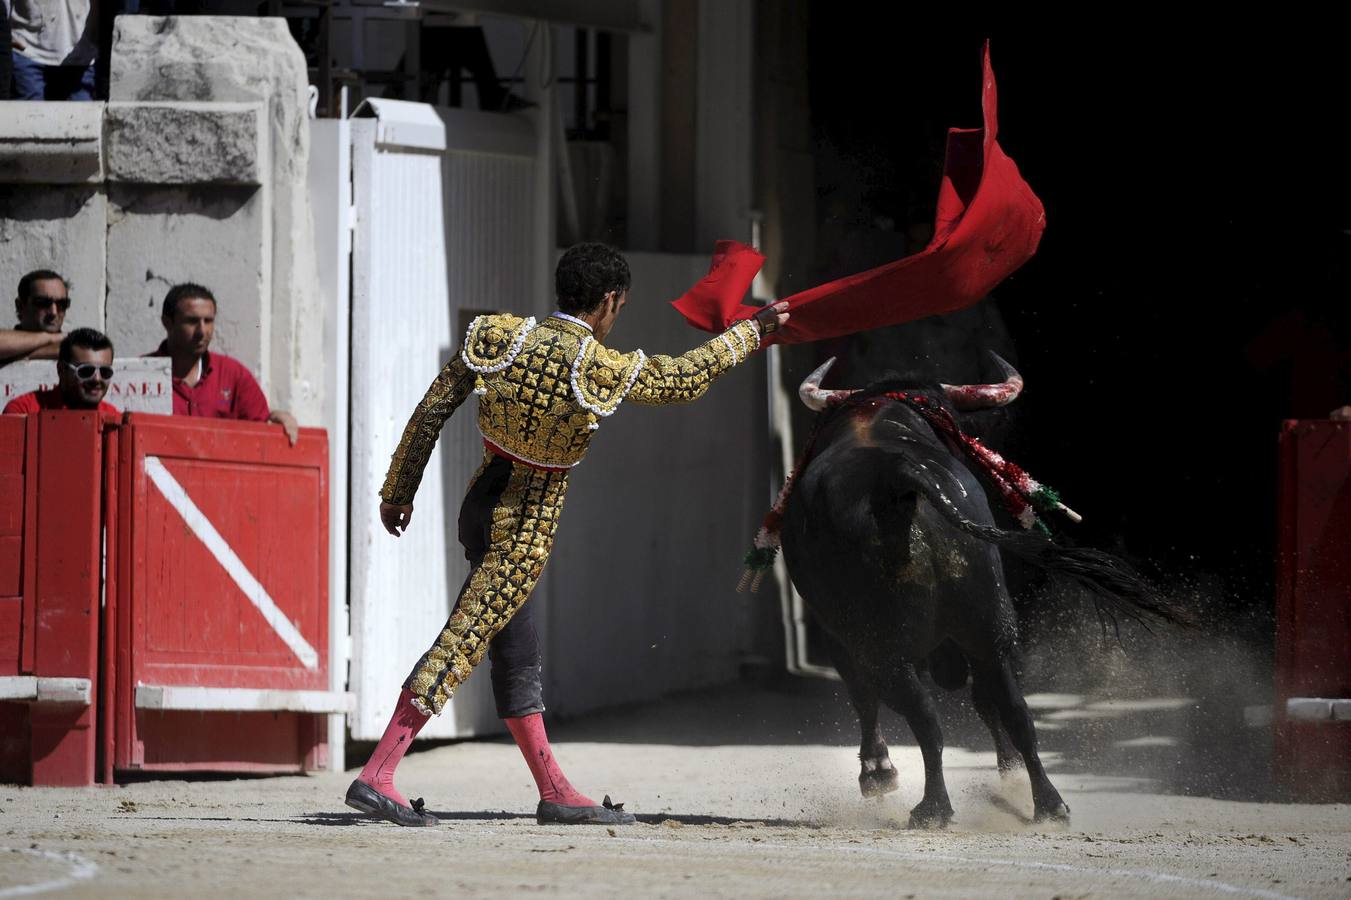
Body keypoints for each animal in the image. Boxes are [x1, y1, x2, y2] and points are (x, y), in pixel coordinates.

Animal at [783, 362, 1172, 821]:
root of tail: (901, 476)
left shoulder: (836, 635)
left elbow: (864, 697)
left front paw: (877, 774)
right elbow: (988, 702)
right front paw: (1010, 772)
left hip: (883, 644)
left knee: (922, 715)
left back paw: (933, 808)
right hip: (989, 622)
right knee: (1013, 709)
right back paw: (1047, 803)